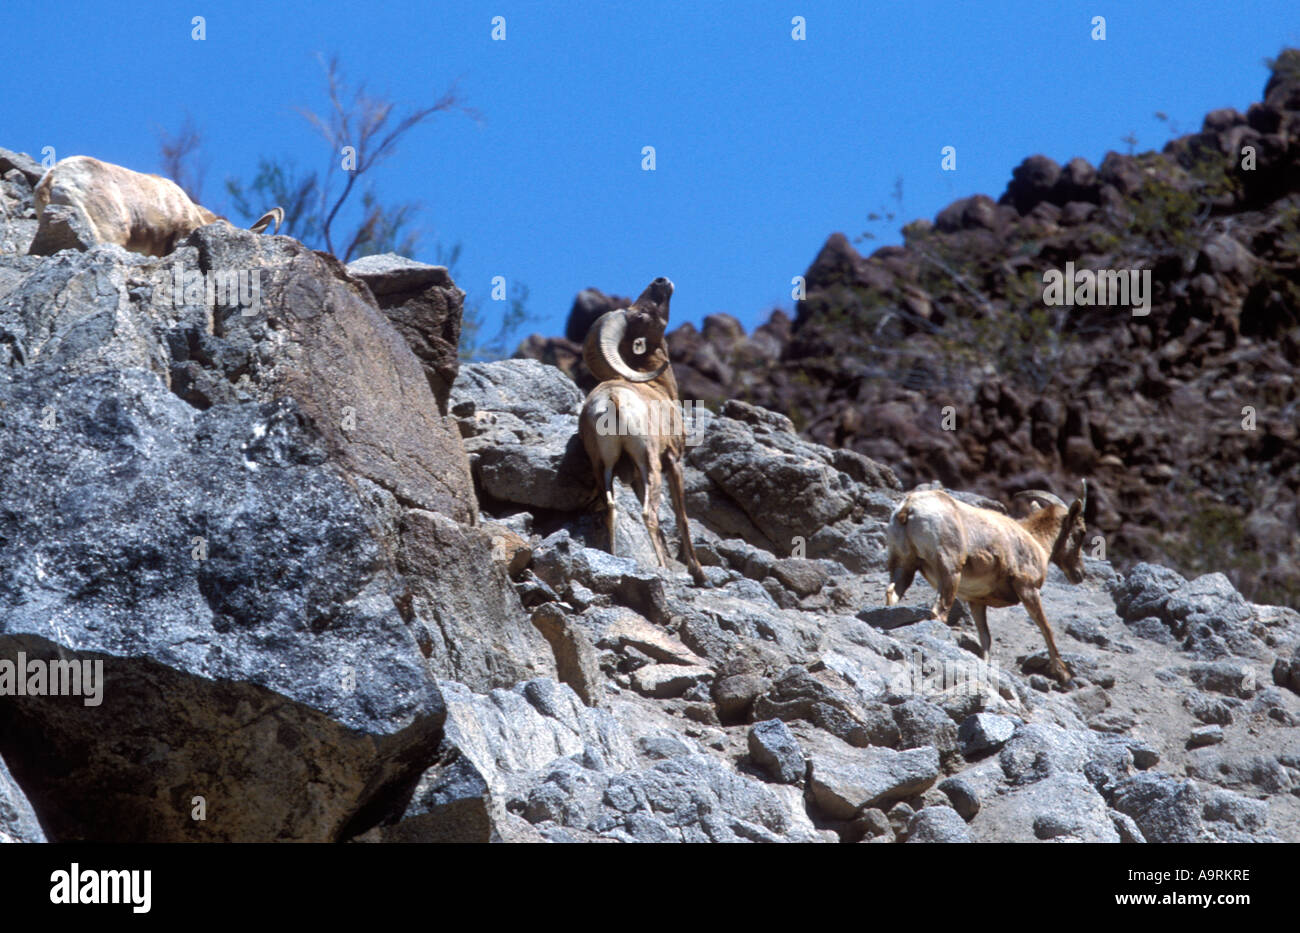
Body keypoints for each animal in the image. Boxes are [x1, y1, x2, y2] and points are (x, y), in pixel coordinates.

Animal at [577, 275, 707, 584]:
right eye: (642, 316)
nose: (661, 281)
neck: (659, 388)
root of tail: (612, 398)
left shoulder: (633, 476)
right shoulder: (673, 461)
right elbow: (681, 517)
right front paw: (698, 572)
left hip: (604, 467)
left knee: (611, 508)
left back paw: (614, 557)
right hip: (649, 462)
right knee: (649, 513)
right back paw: (661, 567)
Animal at [883, 485, 1086, 680]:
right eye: (1080, 533)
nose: (1080, 574)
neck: (1036, 541)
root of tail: (908, 508)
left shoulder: (977, 602)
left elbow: (985, 637)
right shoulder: (1027, 588)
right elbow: (1046, 628)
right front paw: (1064, 674)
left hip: (904, 565)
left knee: (892, 593)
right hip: (950, 572)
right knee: (939, 612)